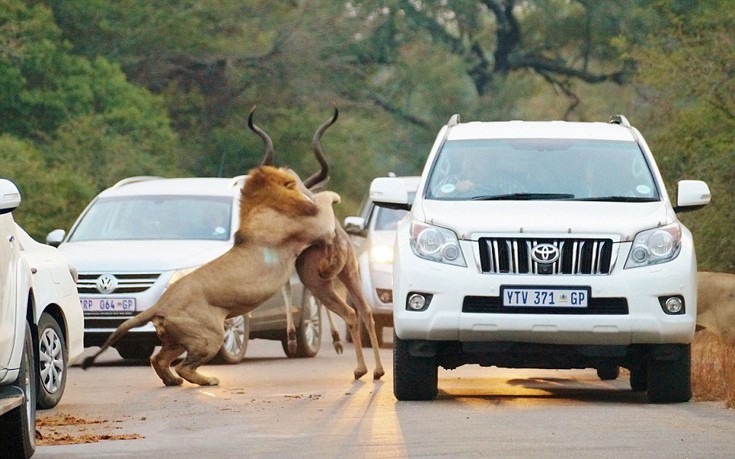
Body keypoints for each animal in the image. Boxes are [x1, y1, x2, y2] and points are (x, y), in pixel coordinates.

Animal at [81, 166, 342, 388]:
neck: (260, 205)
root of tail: (161, 304)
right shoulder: (316, 225)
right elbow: (324, 202)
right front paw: (333, 195)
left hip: (178, 339)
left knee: (159, 360)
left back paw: (172, 381)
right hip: (211, 335)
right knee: (184, 366)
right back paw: (208, 380)